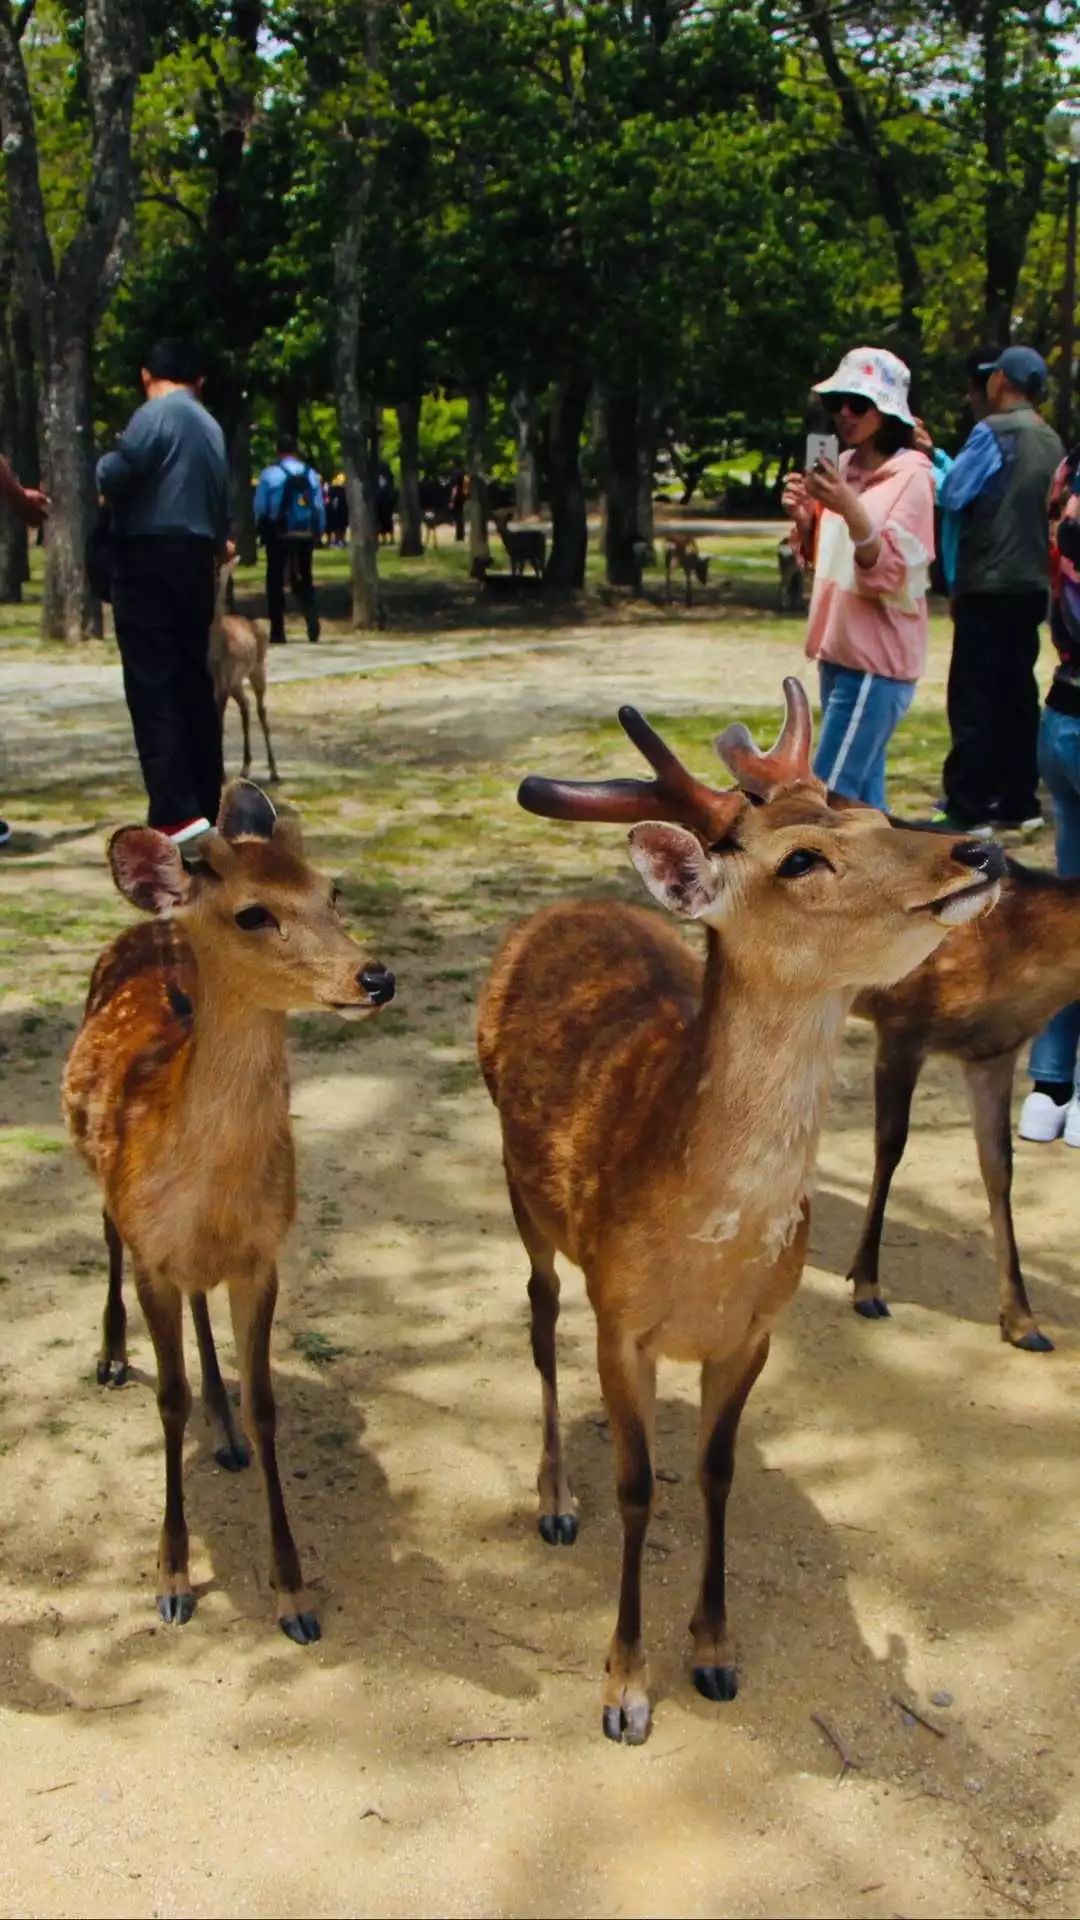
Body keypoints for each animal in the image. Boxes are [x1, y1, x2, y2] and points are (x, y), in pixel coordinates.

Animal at [61, 787, 395, 1643]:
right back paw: (112, 1356)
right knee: (108, 1239)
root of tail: (151, 922)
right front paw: (173, 1580)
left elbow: (267, 1403)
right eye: (253, 914)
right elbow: (167, 1400)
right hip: (103, 1182)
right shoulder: (151, 1248)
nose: (375, 975)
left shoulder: (261, 1254)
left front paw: (294, 1594)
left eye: (332, 891)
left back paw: (225, 1431)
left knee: (201, 1309)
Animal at [204, 556, 272, 779]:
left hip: (257, 667)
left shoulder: (223, 683)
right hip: (237, 682)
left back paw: (274, 771)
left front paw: (222, 775)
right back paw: (245, 767)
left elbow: (219, 723)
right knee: (246, 705)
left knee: (261, 708)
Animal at [474, 683, 999, 1751]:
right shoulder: (621, 1318)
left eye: (870, 813)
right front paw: (624, 1689)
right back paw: (554, 1500)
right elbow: (636, 1490)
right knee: (539, 1318)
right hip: (521, 1193)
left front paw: (714, 1653)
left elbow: (717, 1474)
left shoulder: (757, 1331)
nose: (977, 850)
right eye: (800, 859)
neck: (708, 1256)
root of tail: (561, 908)